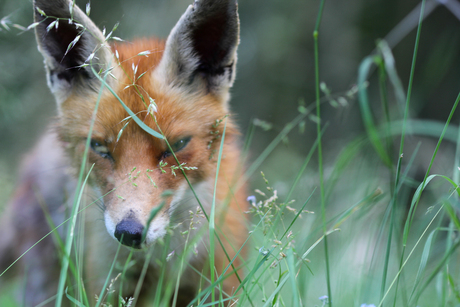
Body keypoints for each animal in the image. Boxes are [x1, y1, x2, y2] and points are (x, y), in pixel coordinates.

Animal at [0, 0, 248, 306]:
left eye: (177, 145)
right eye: (99, 147)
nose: (129, 233)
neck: (161, 258)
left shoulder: (221, 282)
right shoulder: (108, 286)